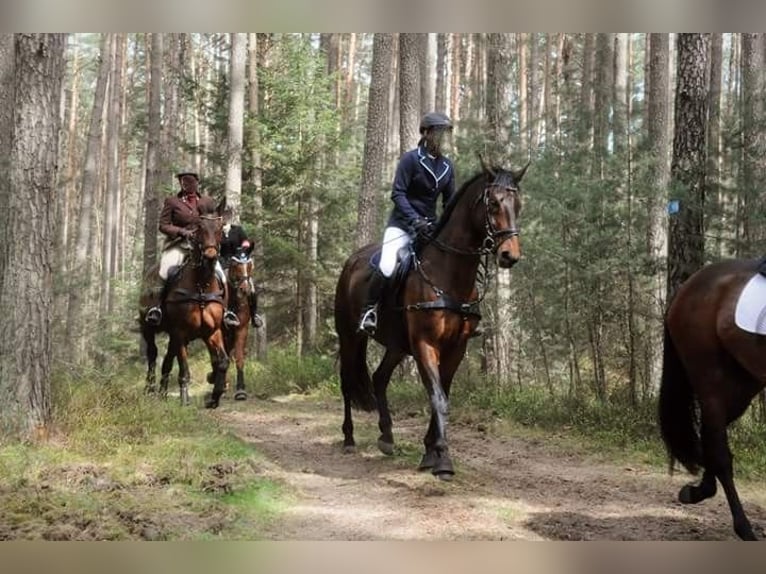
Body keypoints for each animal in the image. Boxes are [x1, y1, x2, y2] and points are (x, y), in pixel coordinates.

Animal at [140, 197, 231, 410]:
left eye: (220, 228)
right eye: (199, 227)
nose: (210, 256)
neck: (201, 285)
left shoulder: (213, 331)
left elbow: (222, 361)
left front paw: (215, 396)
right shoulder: (180, 332)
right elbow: (184, 368)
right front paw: (184, 398)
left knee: (167, 359)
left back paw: (163, 392)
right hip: (147, 327)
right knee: (152, 354)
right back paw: (150, 389)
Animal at [336, 158, 528, 482]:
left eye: (518, 205)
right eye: (492, 203)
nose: (509, 255)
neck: (449, 276)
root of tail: (352, 261)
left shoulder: (456, 347)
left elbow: (443, 395)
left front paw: (429, 453)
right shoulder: (426, 344)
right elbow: (437, 397)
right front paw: (442, 460)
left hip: (397, 345)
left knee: (379, 378)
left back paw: (387, 437)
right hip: (350, 336)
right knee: (347, 381)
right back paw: (349, 438)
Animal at [656, 258, 766, 544]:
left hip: (743, 383)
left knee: (709, 436)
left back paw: (699, 491)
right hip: (711, 380)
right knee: (719, 453)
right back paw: (744, 528)